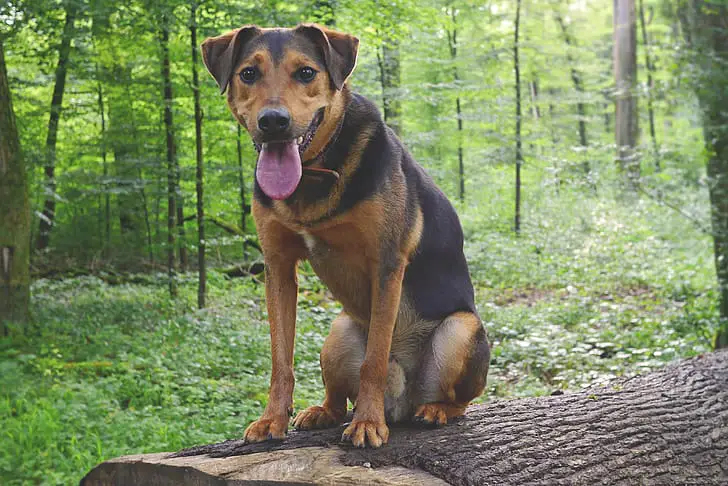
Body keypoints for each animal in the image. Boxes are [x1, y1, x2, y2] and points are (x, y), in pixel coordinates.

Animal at [200, 22, 490, 448]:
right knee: (338, 398)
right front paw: (272, 419)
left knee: (460, 400)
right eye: (248, 74)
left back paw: (434, 409)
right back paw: (322, 412)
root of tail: (401, 402)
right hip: (337, 333)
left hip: (462, 330)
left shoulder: (386, 263)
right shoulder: (278, 267)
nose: (273, 122)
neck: (314, 172)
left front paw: (368, 423)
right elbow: (280, 359)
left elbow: (374, 360)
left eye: (306, 72)